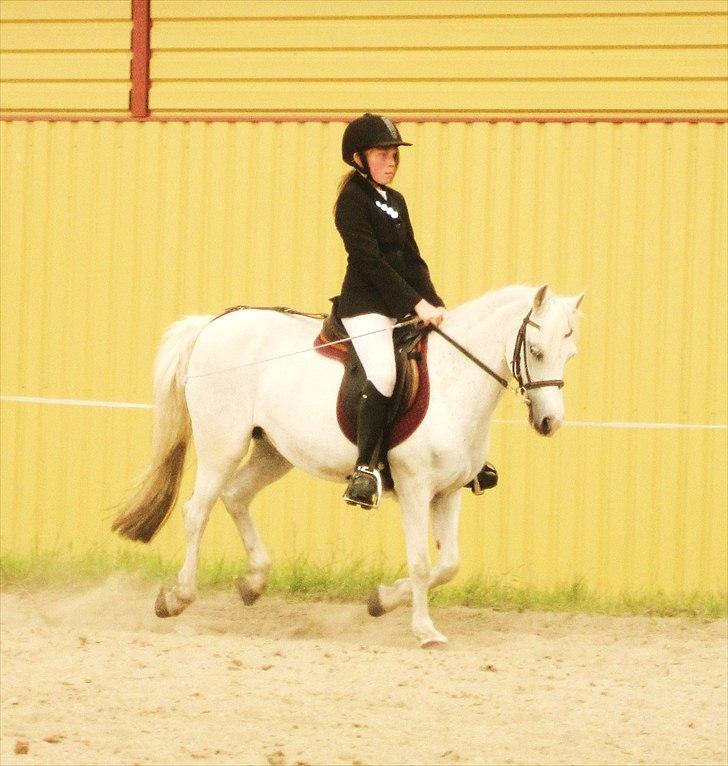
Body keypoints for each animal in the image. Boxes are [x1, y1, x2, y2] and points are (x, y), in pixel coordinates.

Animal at [113, 284, 583, 647]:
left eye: (570, 353)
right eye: (536, 350)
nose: (550, 422)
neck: (454, 380)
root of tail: (212, 324)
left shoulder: (448, 492)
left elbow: (449, 564)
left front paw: (382, 600)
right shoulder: (415, 488)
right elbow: (421, 562)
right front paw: (424, 630)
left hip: (274, 452)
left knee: (236, 496)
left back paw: (252, 583)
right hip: (221, 445)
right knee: (198, 511)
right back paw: (177, 598)